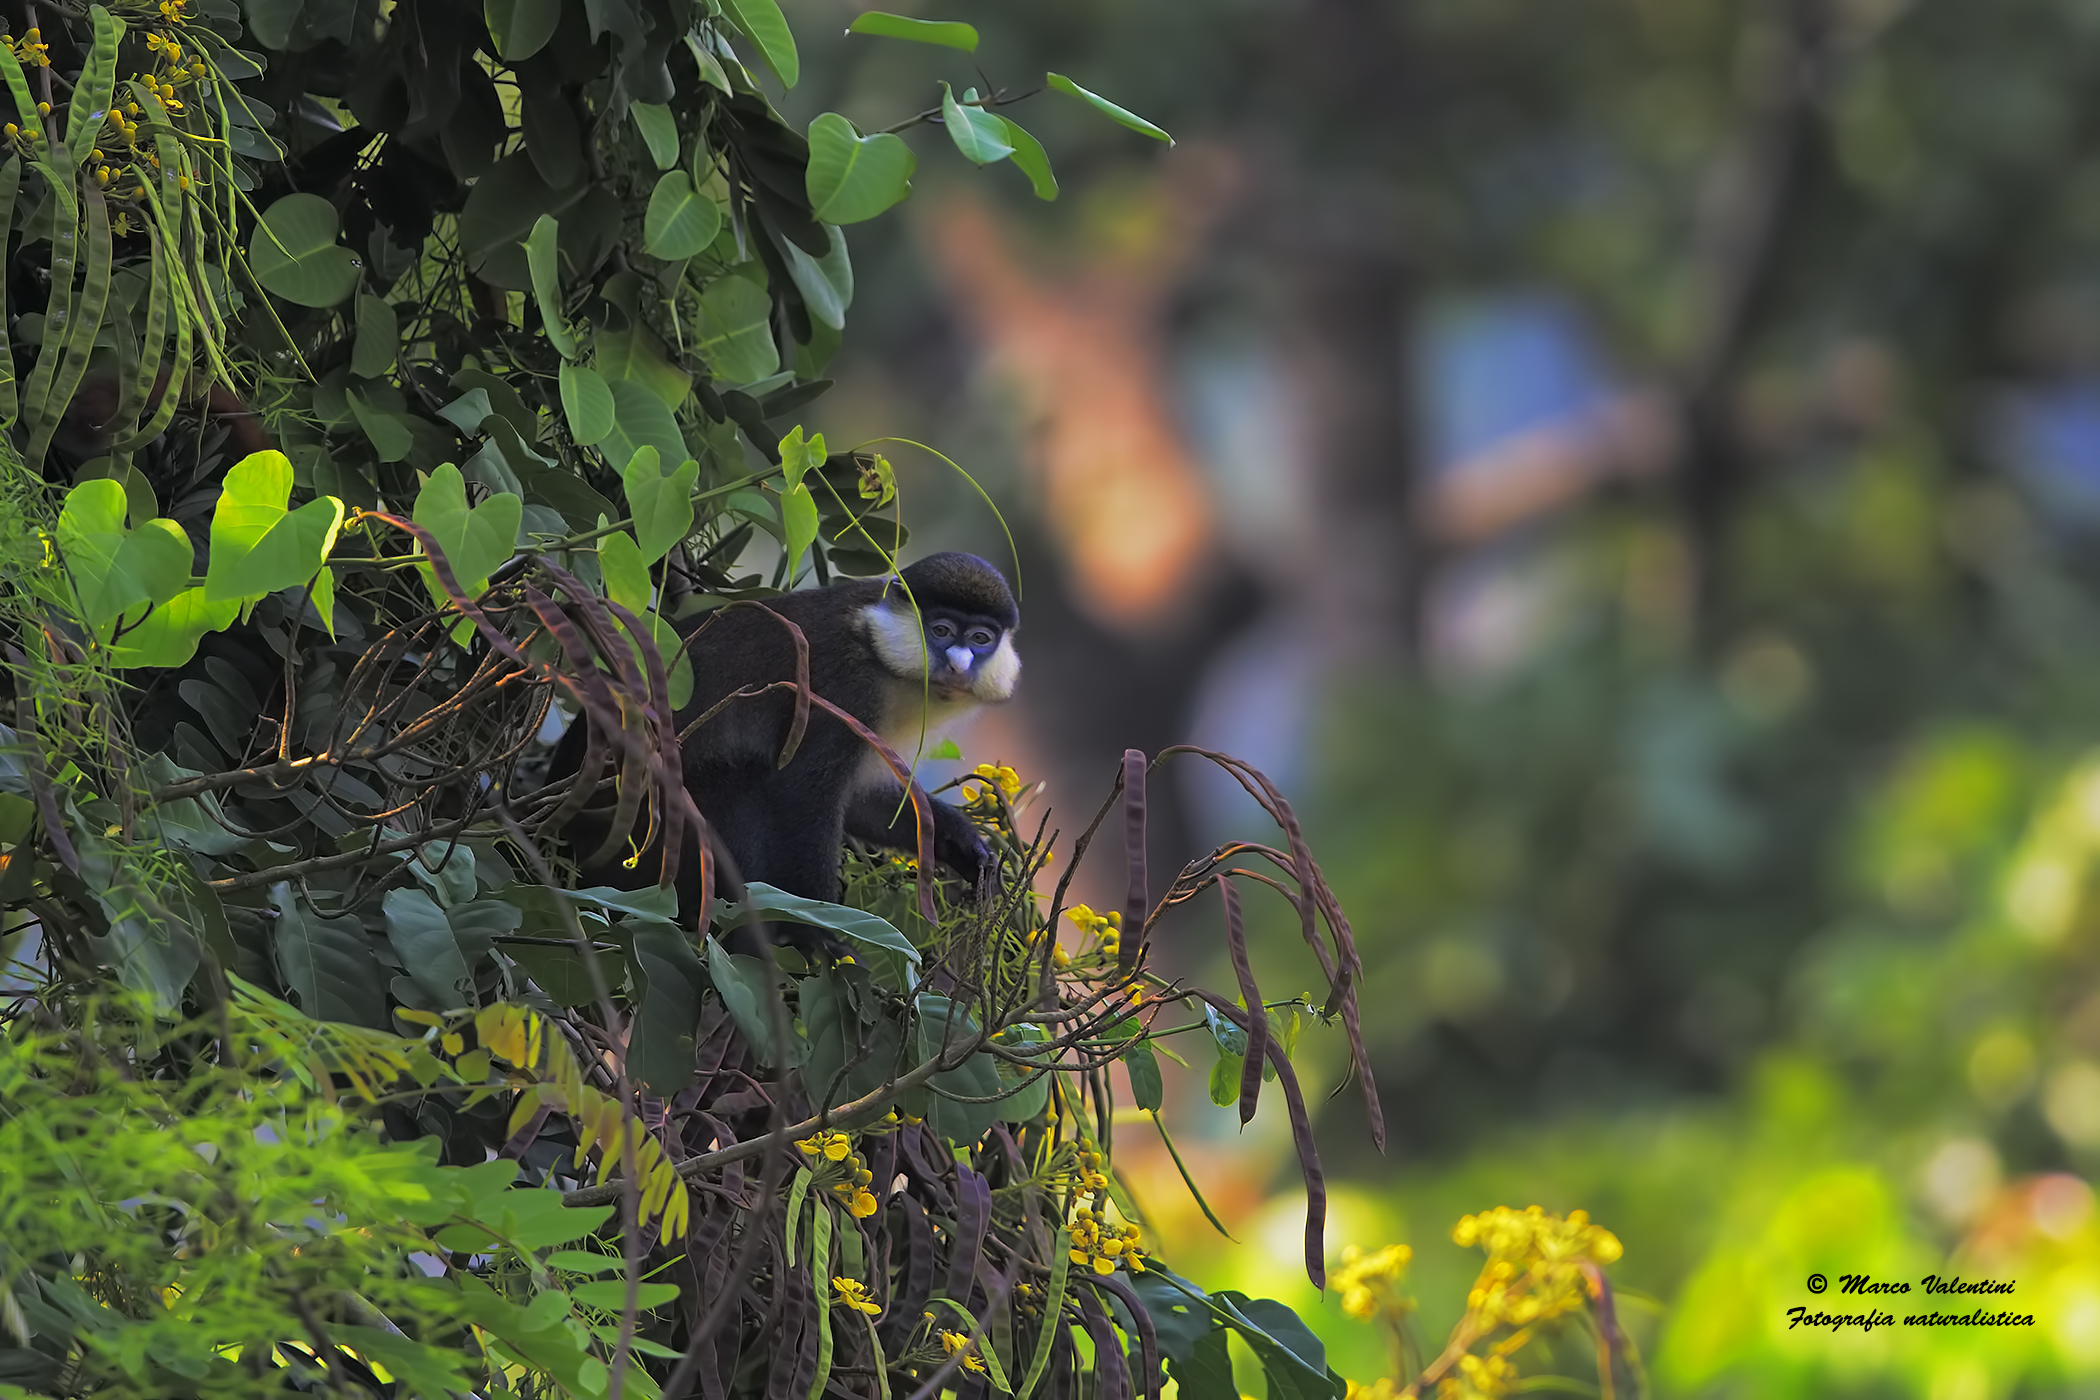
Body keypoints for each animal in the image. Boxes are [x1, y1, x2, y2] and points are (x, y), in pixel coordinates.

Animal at [552, 550, 1021, 949]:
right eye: (941, 630)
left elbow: (863, 802)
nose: (959, 663)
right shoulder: (842, 689)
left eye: (981, 638)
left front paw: (965, 844)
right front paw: (819, 935)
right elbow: (802, 794)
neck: (882, 655)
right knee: (736, 785)